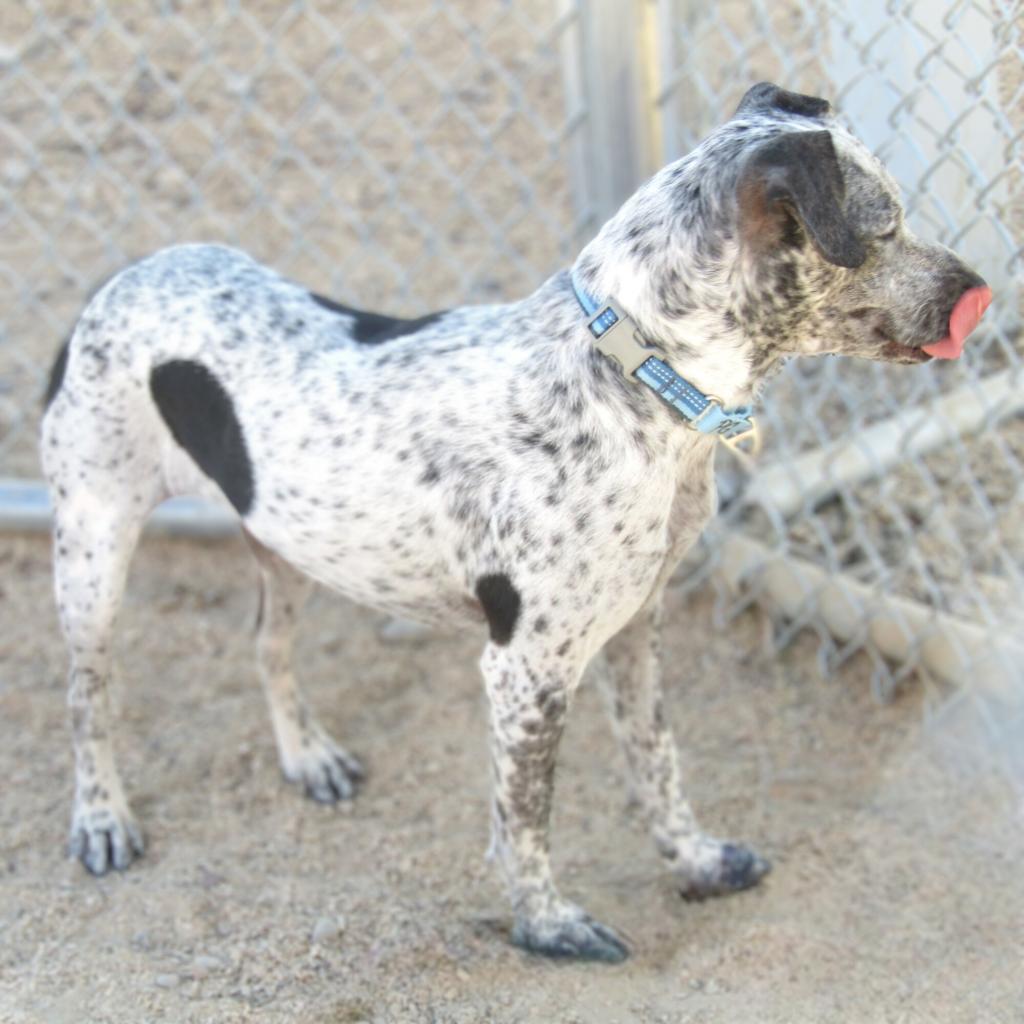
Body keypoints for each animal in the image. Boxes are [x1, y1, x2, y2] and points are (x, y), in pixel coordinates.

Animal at [41, 83, 991, 962]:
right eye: (883, 227)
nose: (978, 294)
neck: (630, 376)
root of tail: (115, 281)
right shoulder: (526, 670)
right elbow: (525, 819)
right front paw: (546, 926)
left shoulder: (637, 626)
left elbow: (658, 762)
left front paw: (692, 862)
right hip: (93, 551)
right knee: (88, 700)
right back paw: (101, 818)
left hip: (282, 544)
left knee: (266, 647)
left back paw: (307, 755)